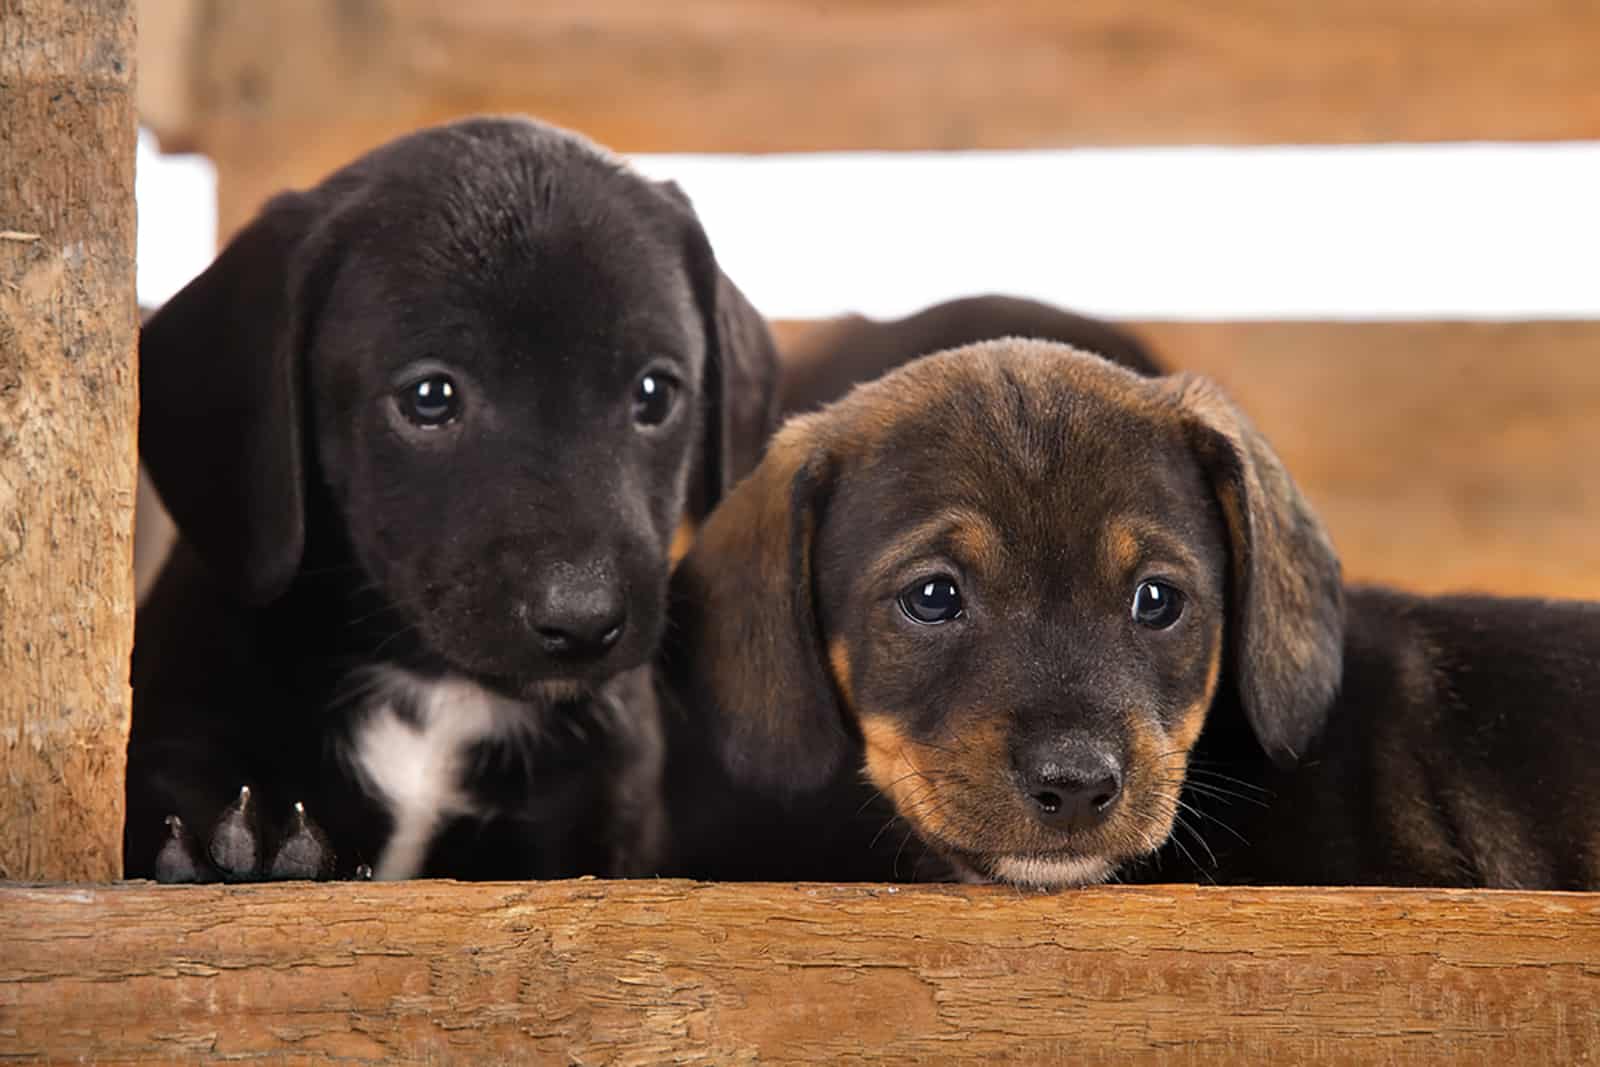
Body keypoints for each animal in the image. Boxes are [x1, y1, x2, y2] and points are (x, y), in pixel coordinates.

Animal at [124, 116, 774, 883]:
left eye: (654, 393)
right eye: (430, 397)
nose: (583, 620)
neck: (434, 688)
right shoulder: (182, 742)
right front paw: (241, 856)